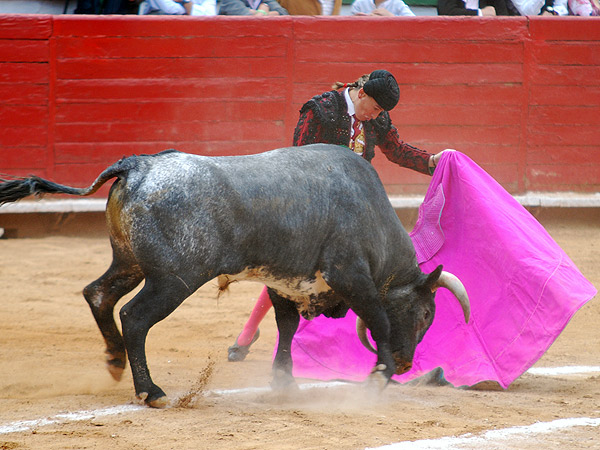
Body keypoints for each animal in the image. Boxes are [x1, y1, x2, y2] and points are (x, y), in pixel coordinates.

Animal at [0, 144, 468, 408]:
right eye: (426, 313)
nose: (407, 362)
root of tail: (138, 166)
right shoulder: (351, 275)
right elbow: (380, 319)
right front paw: (379, 377)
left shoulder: (283, 281)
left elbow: (286, 325)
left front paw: (284, 384)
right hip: (174, 279)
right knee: (134, 316)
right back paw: (152, 392)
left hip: (129, 263)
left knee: (98, 293)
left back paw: (115, 360)